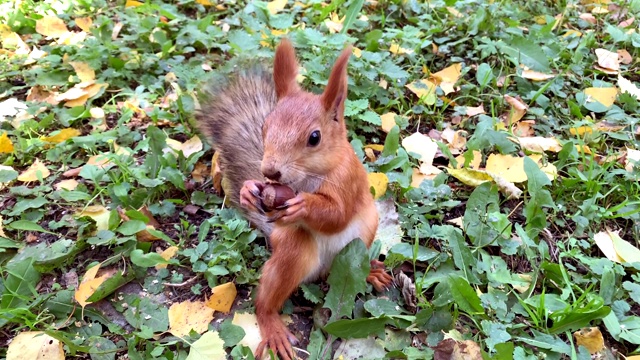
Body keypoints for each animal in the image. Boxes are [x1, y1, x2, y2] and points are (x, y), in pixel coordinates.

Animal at [198, 39, 392, 358]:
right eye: (264, 127)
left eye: (314, 137)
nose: (269, 170)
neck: (305, 178)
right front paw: (248, 190)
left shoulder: (348, 181)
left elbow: (337, 214)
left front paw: (305, 205)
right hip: (291, 249)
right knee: (266, 301)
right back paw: (273, 327)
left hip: (361, 238)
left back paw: (371, 274)